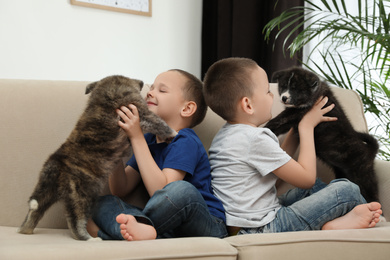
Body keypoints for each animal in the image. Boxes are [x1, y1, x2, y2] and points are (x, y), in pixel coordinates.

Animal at [18, 74, 177, 240]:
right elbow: (159, 123)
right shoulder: (142, 112)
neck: (108, 92)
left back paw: (26, 230)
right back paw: (89, 239)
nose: (143, 85)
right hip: (82, 195)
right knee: (76, 222)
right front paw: (174, 133)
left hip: (46, 191)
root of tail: (58, 165)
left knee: (34, 212)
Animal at [266, 68, 378, 202]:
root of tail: (369, 151)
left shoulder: (294, 113)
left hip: (362, 175)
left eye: (296, 89)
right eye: (283, 86)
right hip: (343, 171)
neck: (316, 93)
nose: (284, 98)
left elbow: (276, 122)